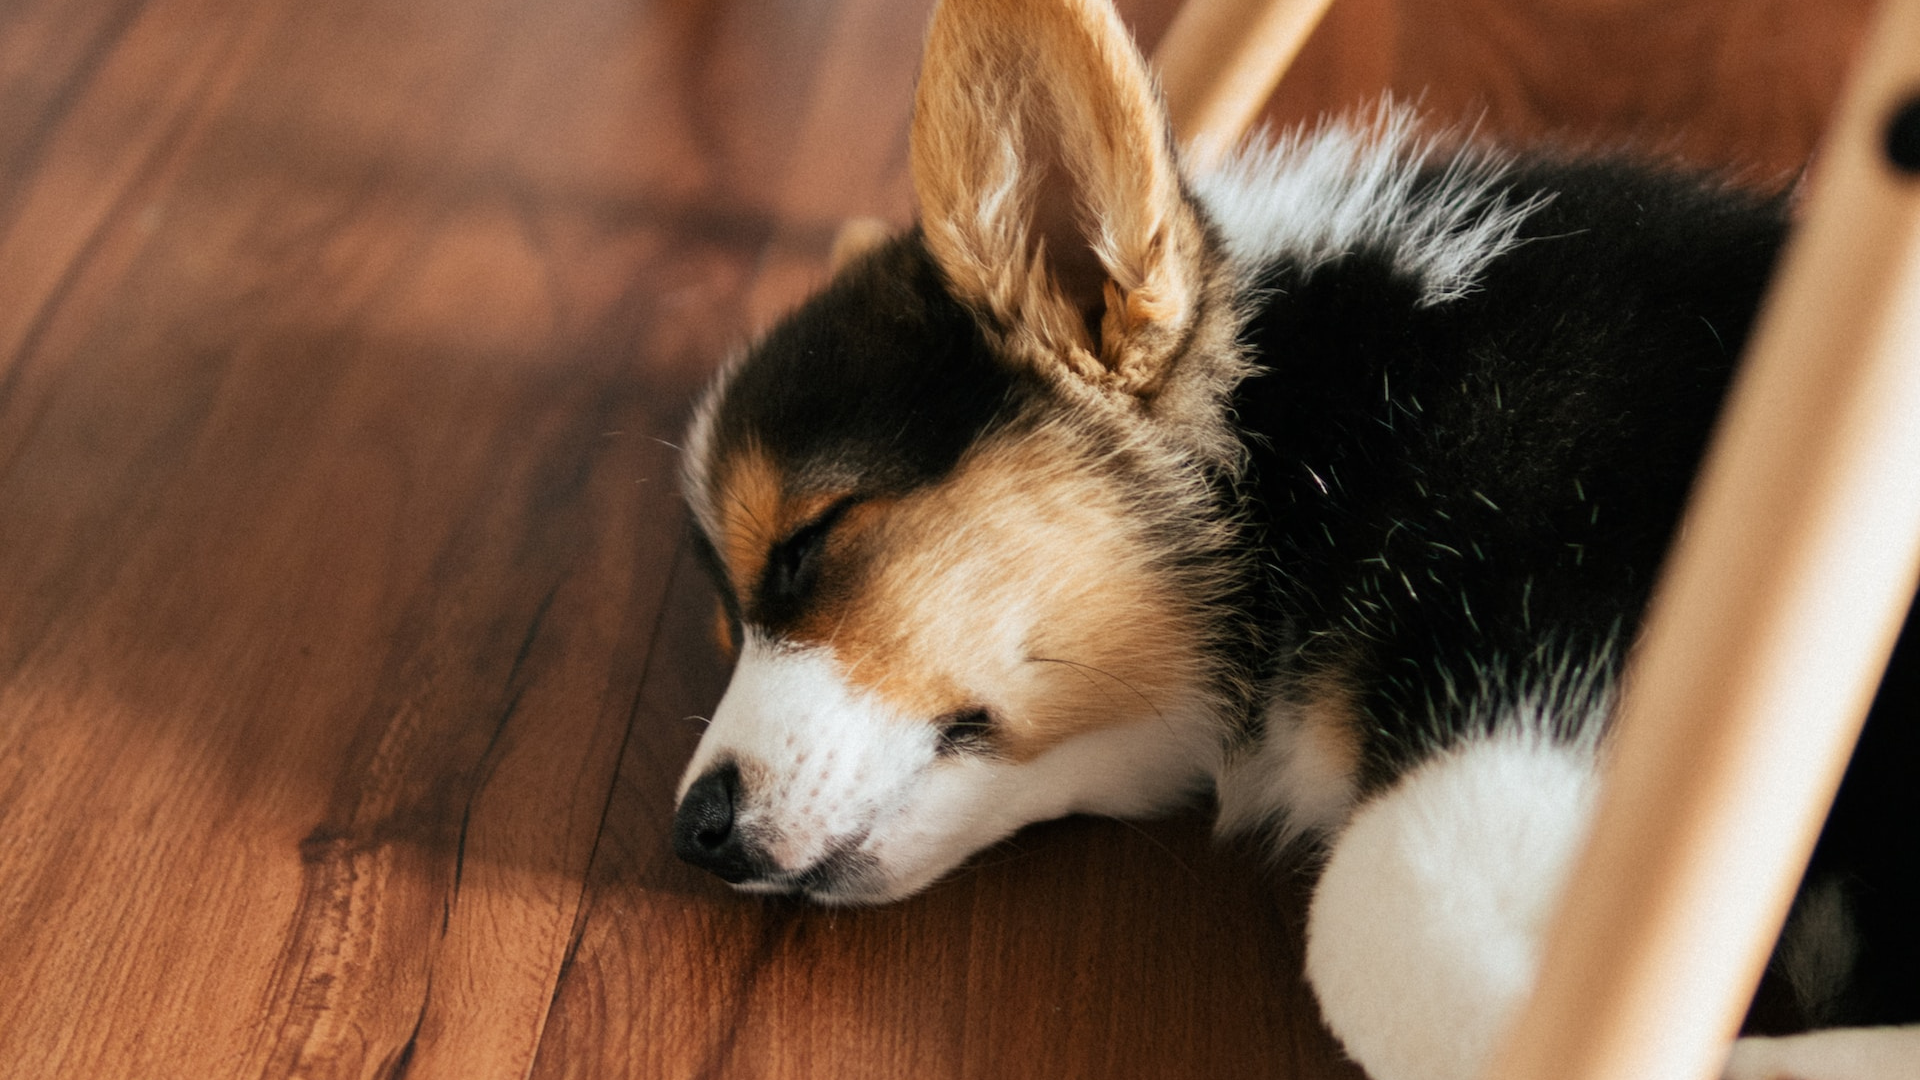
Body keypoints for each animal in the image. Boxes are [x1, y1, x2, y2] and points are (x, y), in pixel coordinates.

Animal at [668, 2, 1912, 1076]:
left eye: (808, 542)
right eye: (727, 621)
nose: (694, 835)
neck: (1328, 417)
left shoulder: (1598, 628)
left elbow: (1378, 906)